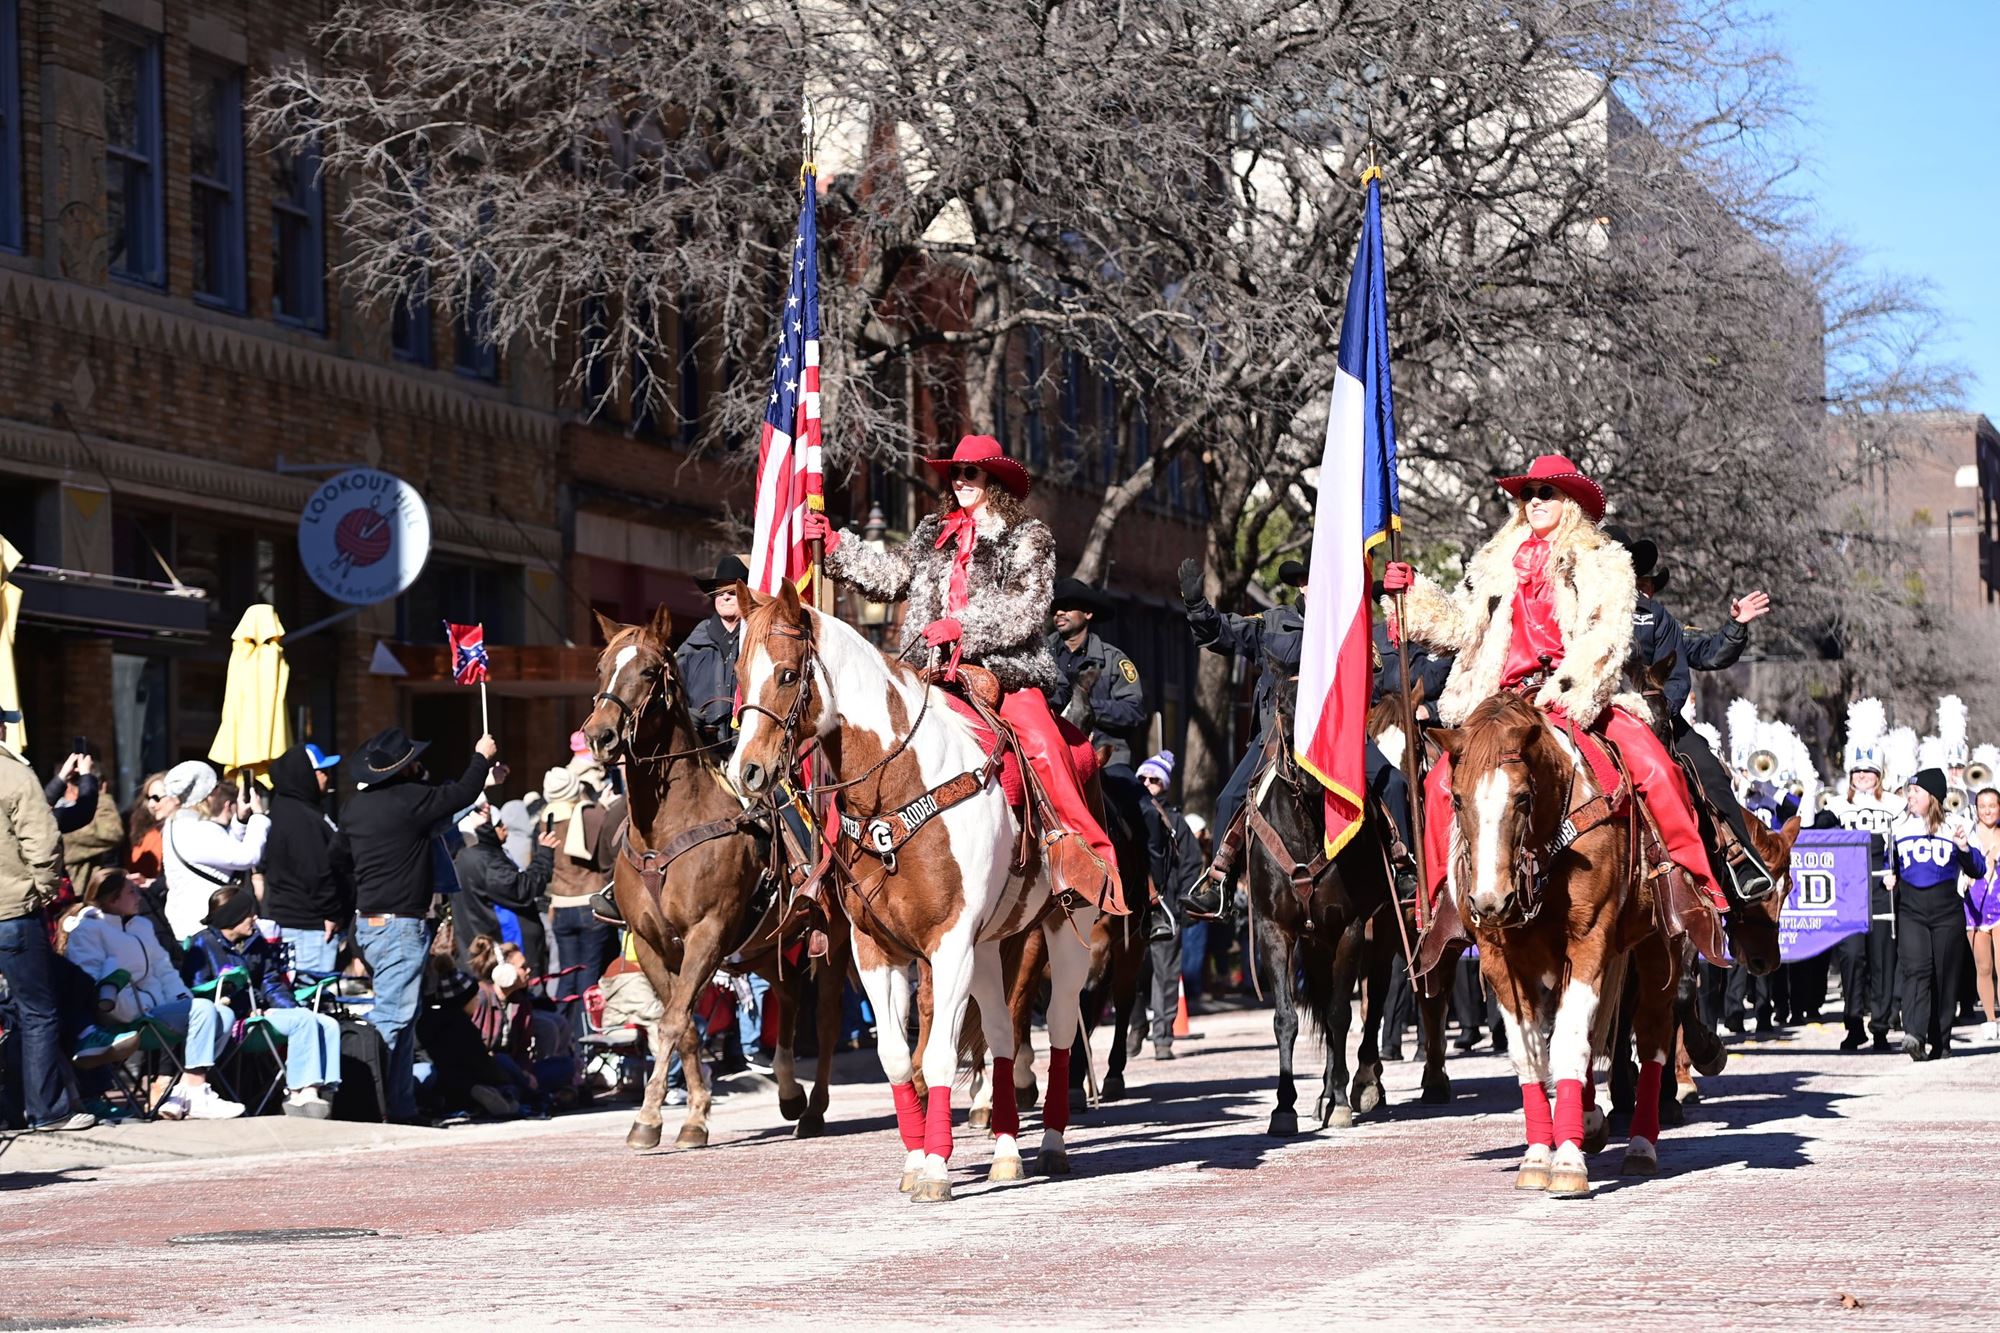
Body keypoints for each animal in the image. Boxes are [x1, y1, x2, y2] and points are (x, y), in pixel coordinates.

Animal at [584, 608, 852, 1144]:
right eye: (602, 668)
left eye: (649, 670)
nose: (599, 735)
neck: (666, 829)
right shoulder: (651, 945)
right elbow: (684, 1026)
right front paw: (692, 1116)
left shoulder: (707, 934)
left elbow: (672, 1022)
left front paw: (648, 1119)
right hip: (764, 945)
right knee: (788, 997)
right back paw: (789, 1093)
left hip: (831, 938)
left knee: (828, 1018)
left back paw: (814, 1108)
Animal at [732, 576, 1104, 1200]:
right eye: (739, 671)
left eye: (785, 674)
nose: (747, 772)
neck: (899, 788)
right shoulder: (875, 949)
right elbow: (895, 1057)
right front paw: (914, 1160)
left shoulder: (948, 944)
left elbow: (937, 1057)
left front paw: (934, 1169)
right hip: (988, 947)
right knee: (1001, 1034)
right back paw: (1007, 1152)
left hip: (1063, 930)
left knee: (1055, 1028)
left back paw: (1051, 1143)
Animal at [1432, 688, 1680, 1184]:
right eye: (1457, 800)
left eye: (1523, 798)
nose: (1490, 901)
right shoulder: (1501, 960)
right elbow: (1531, 1054)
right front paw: (1536, 1156)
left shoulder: (1589, 940)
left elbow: (1568, 1044)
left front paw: (1566, 1159)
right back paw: (1590, 1119)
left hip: (1658, 950)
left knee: (1652, 1035)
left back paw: (1640, 1144)